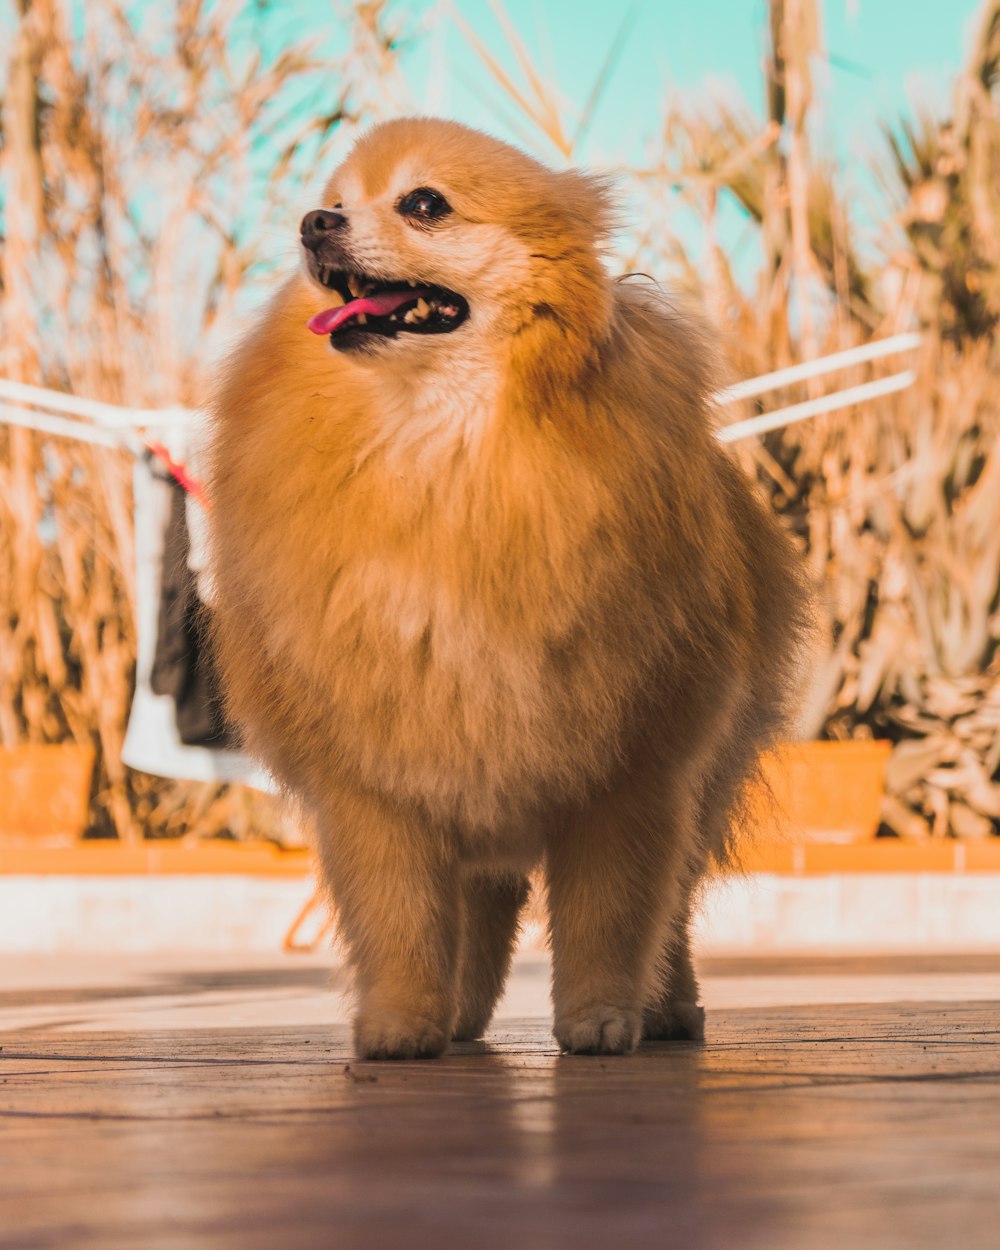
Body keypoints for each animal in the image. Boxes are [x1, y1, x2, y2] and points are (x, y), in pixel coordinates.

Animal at [207, 117, 810, 1060]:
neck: (443, 448)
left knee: (671, 911)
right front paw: (400, 1021)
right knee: (483, 899)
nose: (313, 224)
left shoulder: (630, 770)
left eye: (423, 205)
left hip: (700, 777)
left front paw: (600, 1017)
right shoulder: (379, 781)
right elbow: (399, 916)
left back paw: (666, 1007)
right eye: (334, 200)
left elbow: (610, 914)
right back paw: (457, 1016)